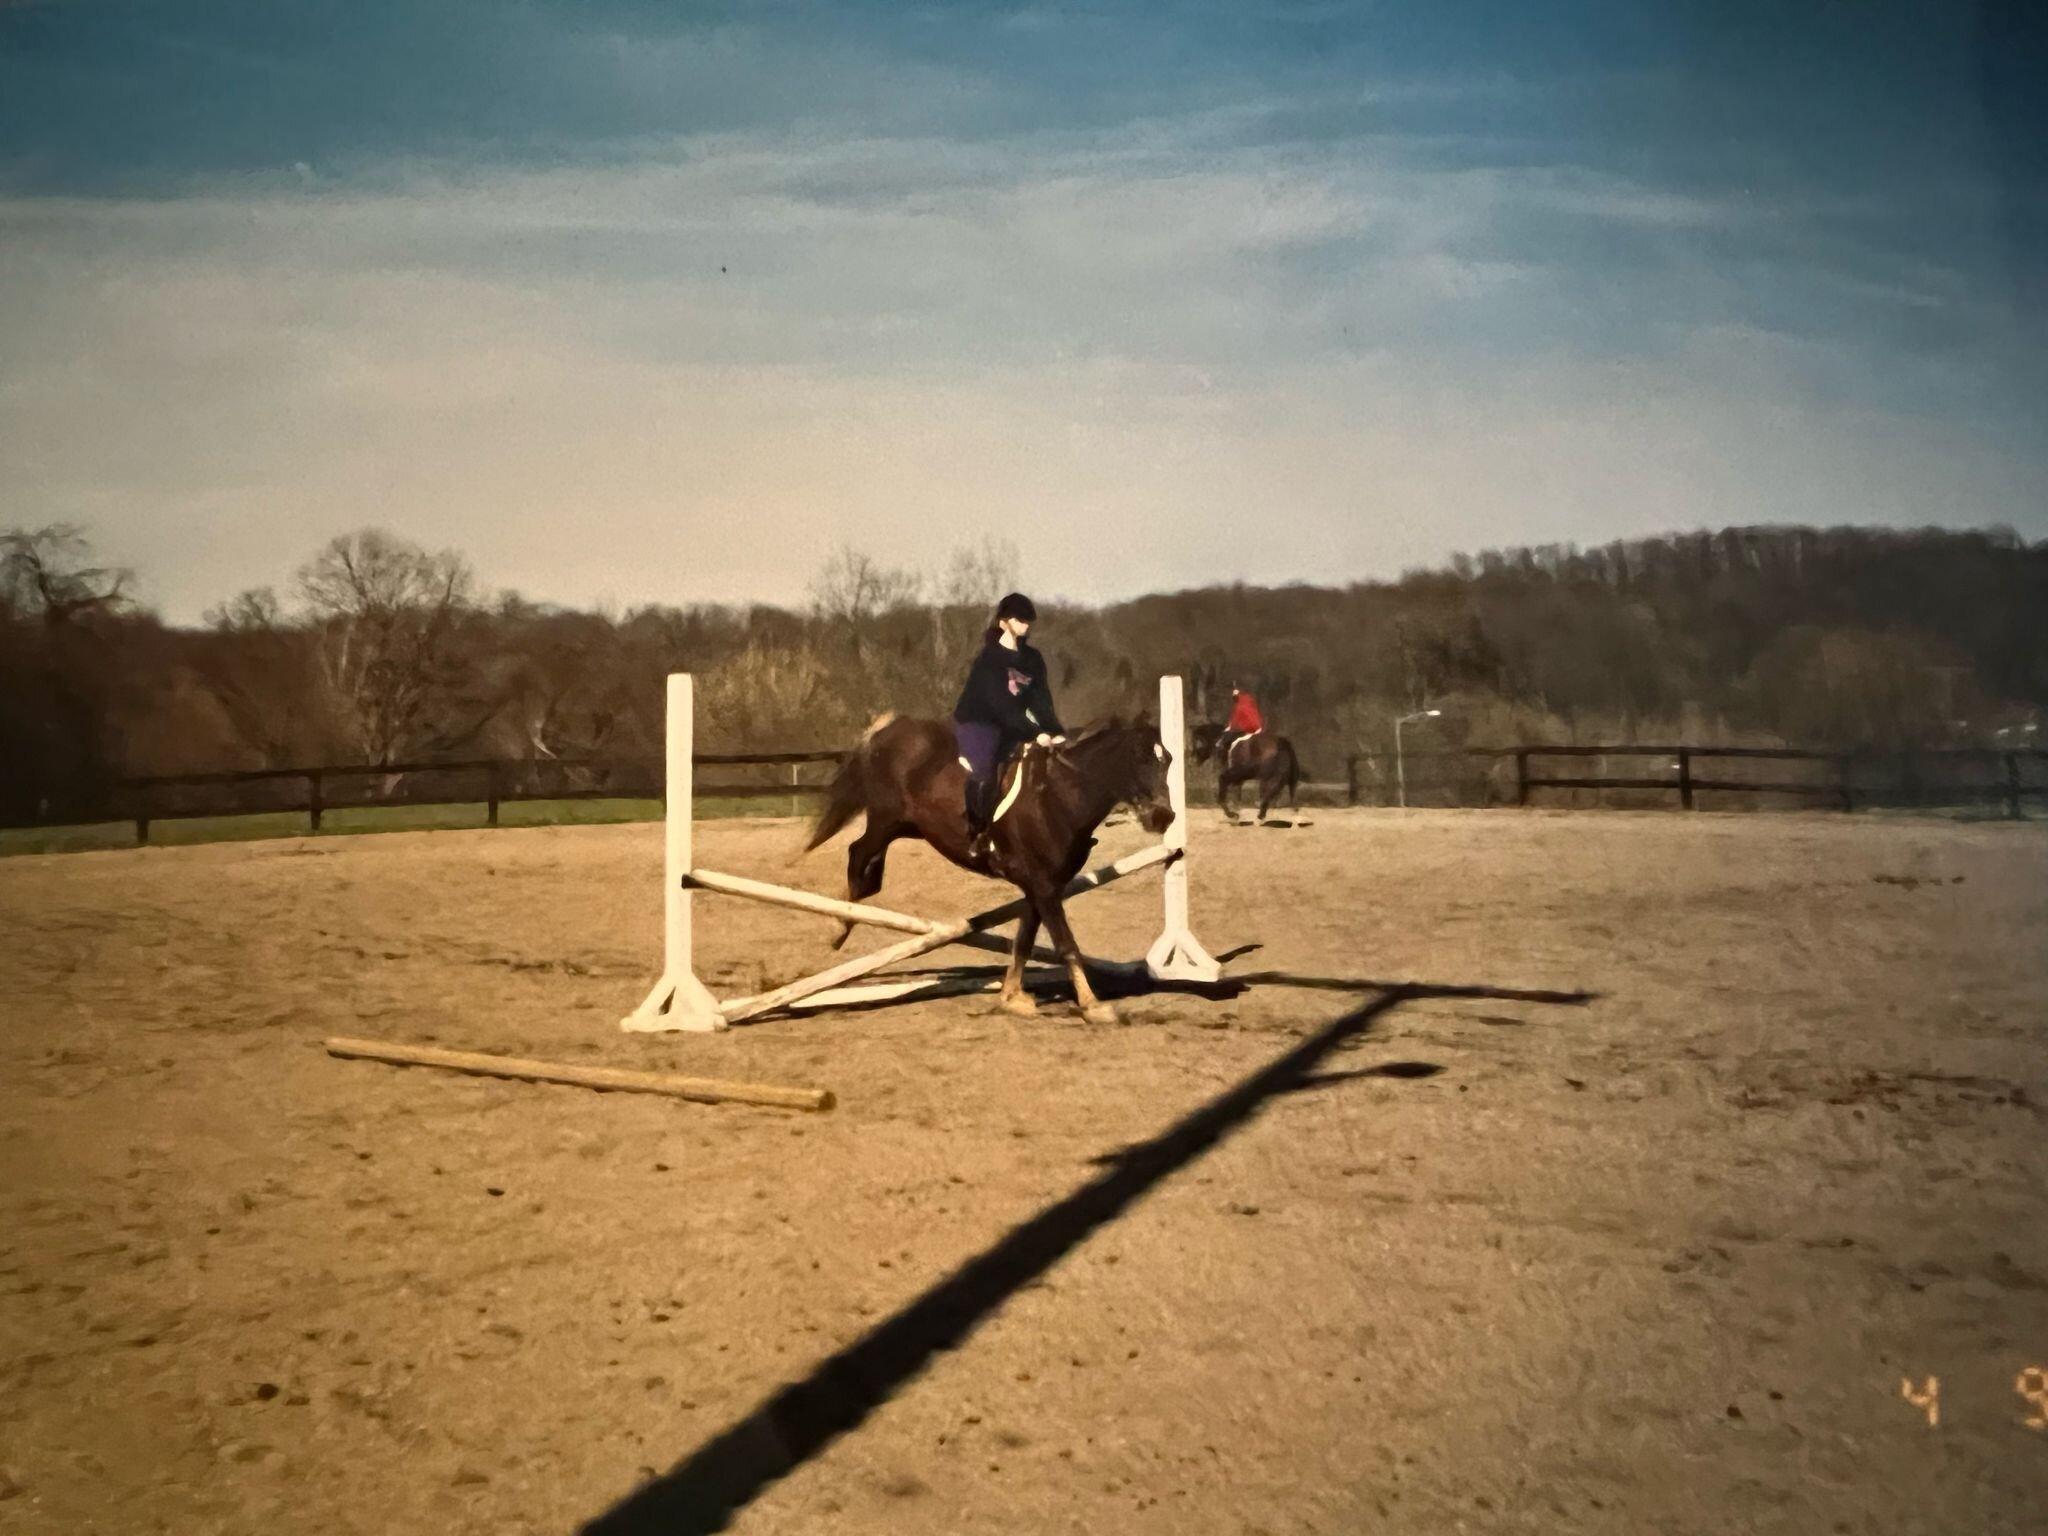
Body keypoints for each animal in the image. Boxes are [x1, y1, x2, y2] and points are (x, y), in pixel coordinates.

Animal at [806, 716, 1179, 1028]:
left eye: (1169, 760)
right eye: (1138, 758)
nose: (1163, 817)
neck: (1060, 798)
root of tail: (888, 727)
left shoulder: (1041, 886)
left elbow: (1024, 942)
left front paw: (1011, 997)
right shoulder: (1044, 887)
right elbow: (1066, 944)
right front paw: (1093, 1006)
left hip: (907, 826)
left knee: (870, 867)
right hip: (886, 817)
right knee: (858, 854)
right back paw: (837, 927)